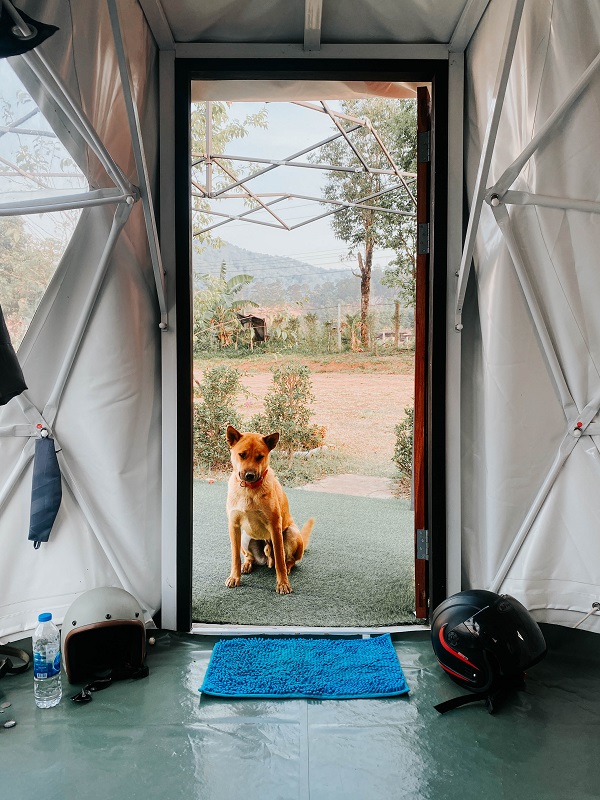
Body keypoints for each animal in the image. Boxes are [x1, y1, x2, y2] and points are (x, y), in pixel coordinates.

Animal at [226, 424, 316, 592]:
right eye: (242, 455)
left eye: (260, 457)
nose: (249, 475)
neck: (249, 490)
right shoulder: (234, 526)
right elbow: (235, 557)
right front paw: (234, 577)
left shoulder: (275, 526)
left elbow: (280, 561)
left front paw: (283, 583)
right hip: (246, 537)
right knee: (249, 557)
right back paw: (247, 564)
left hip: (290, 533)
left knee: (290, 560)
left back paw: (288, 567)